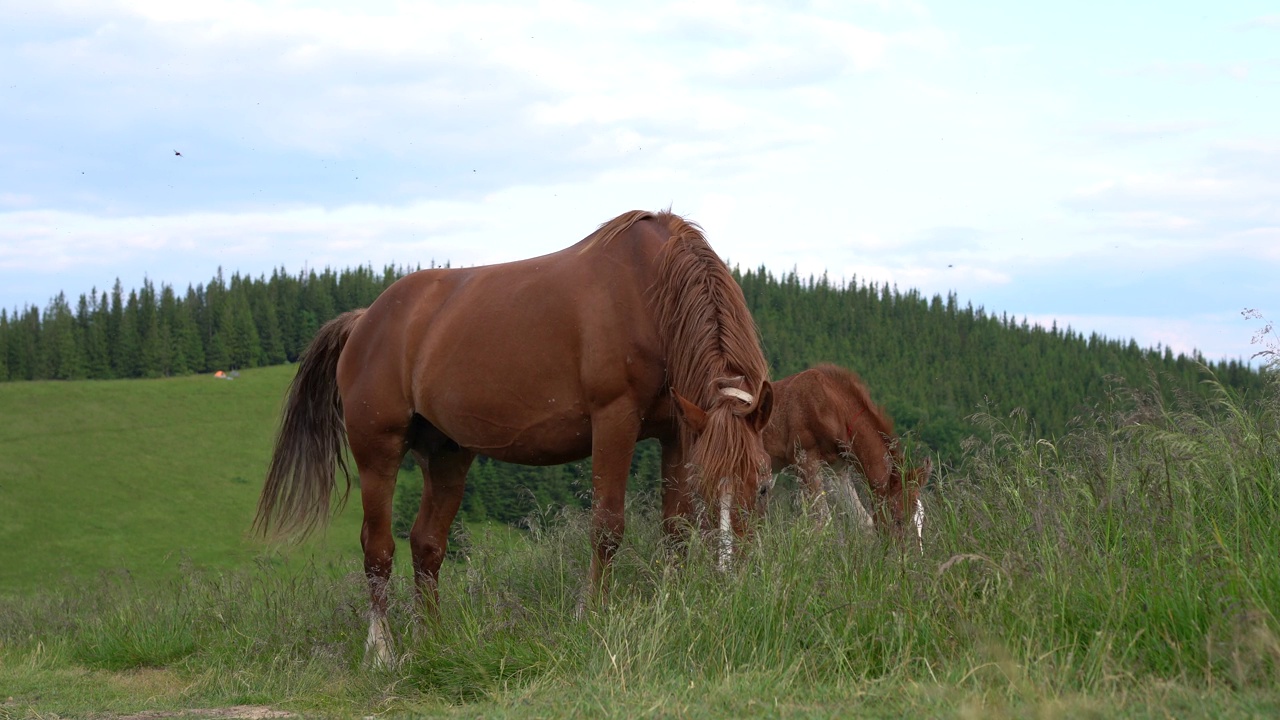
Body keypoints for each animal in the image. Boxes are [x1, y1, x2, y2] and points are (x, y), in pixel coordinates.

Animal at [249, 207, 768, 661]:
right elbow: (607, 527)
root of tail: (365, 320)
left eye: (763, 487)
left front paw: (674, 605)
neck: (649, 291)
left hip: (447, 455)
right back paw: (381, 651)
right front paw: (593, 614)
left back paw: (433, 640)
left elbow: (676, 526)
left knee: (426, 544)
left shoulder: (678, 430)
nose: (732, 579)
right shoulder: (614, 420)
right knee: (378, 547)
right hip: (378, 451)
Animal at [762, 361, 926, 545]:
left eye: (920, 520)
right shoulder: (804, 459)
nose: (908, 551)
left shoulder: (837, 469)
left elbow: (864, 522)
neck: (833, 408)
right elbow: (823, 522)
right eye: (897, 518)